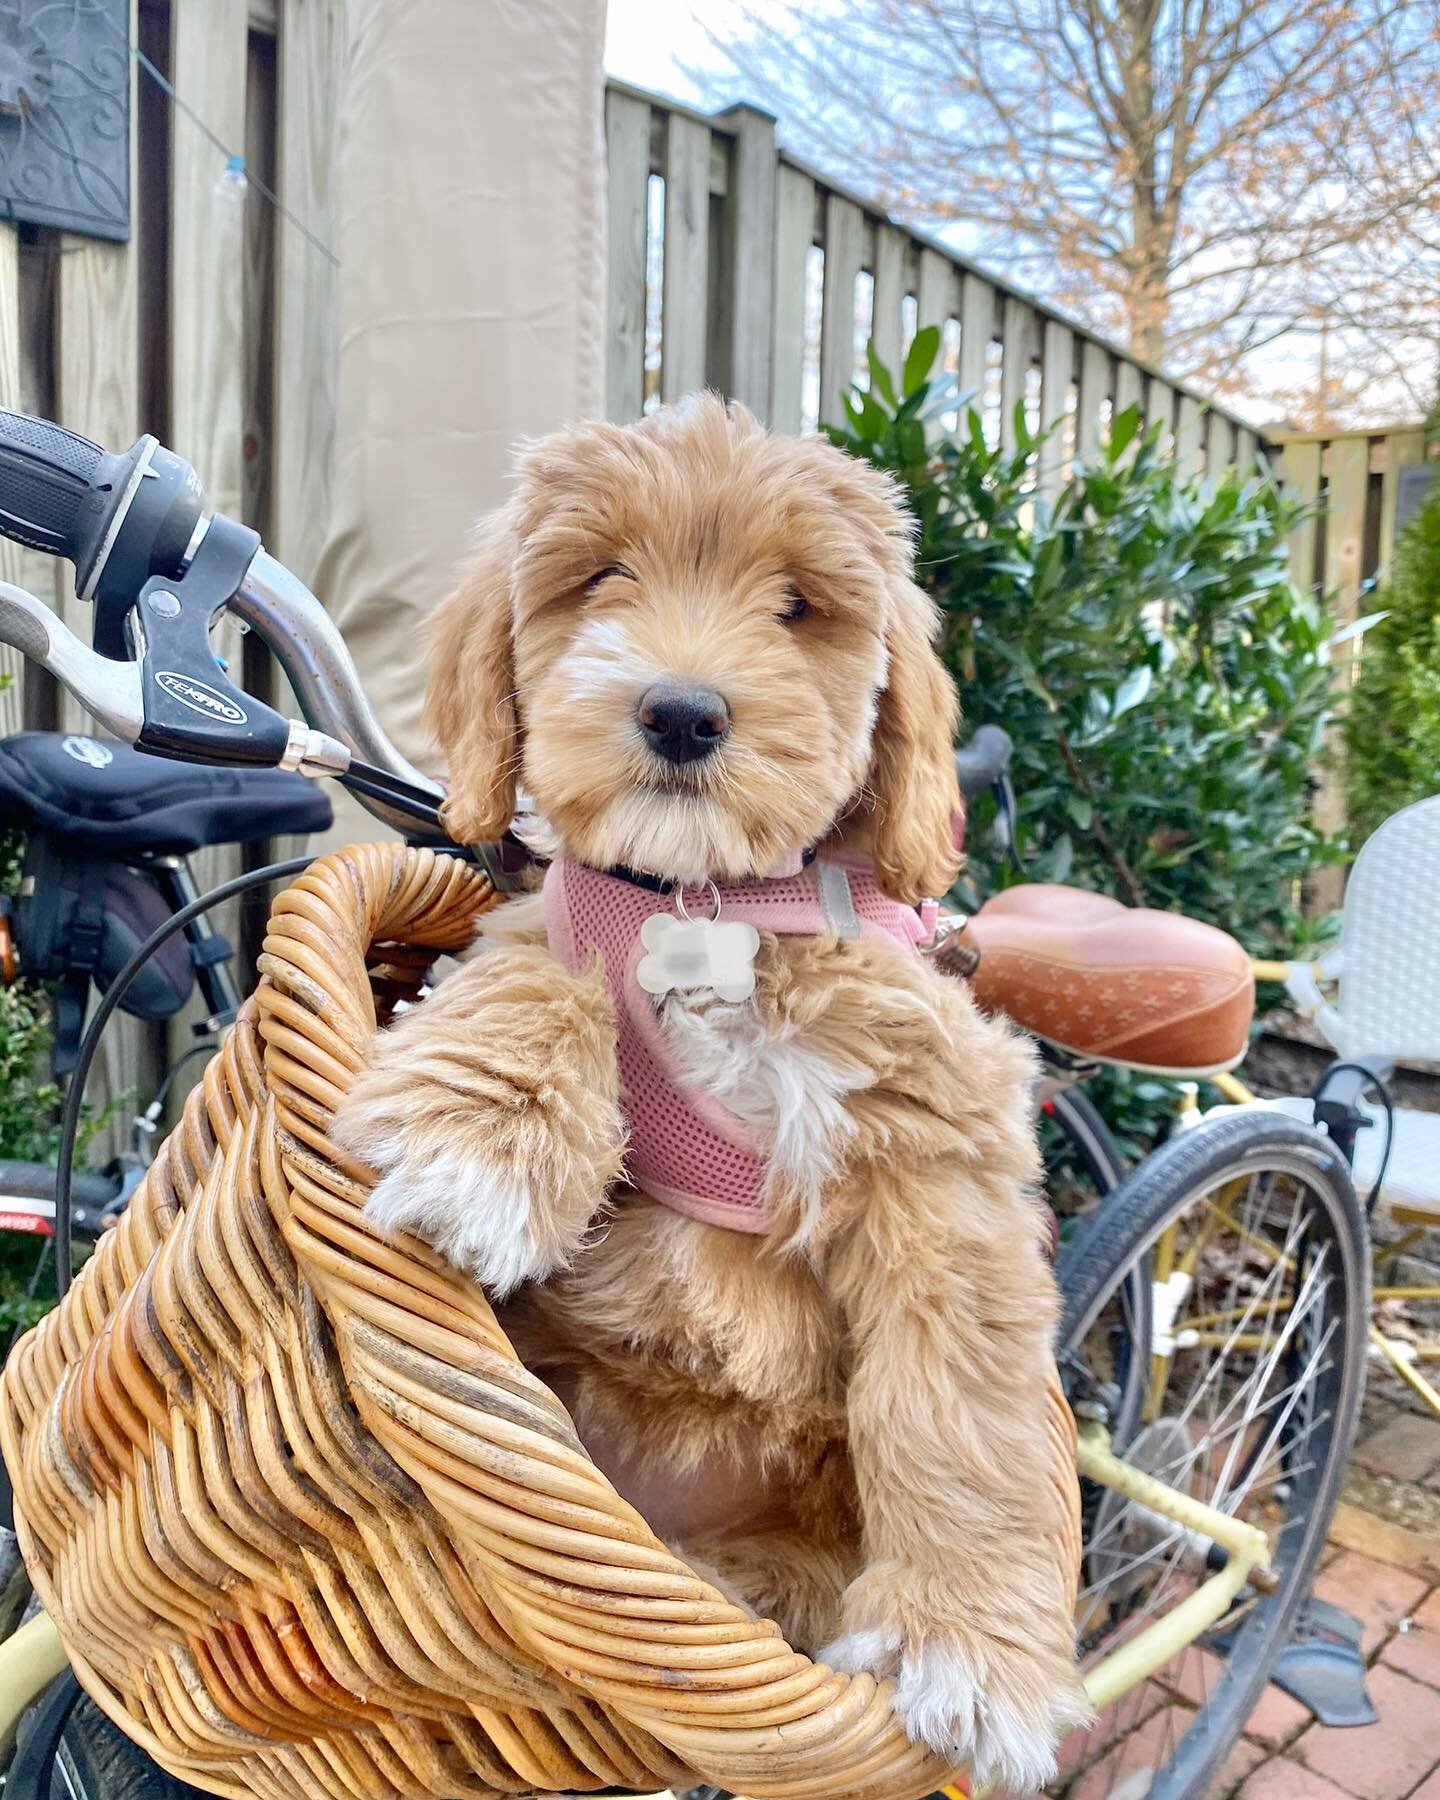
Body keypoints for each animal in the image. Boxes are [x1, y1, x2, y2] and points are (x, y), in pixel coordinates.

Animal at [331, 390, 1087, 1785]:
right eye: (601, 577)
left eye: (796, 605)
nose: (682, 714)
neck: (702, 901)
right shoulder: (540, 922)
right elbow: (548, 975)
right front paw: (481, 1143)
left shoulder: (934, 1154)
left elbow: (961, 1398)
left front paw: (973, 1655)